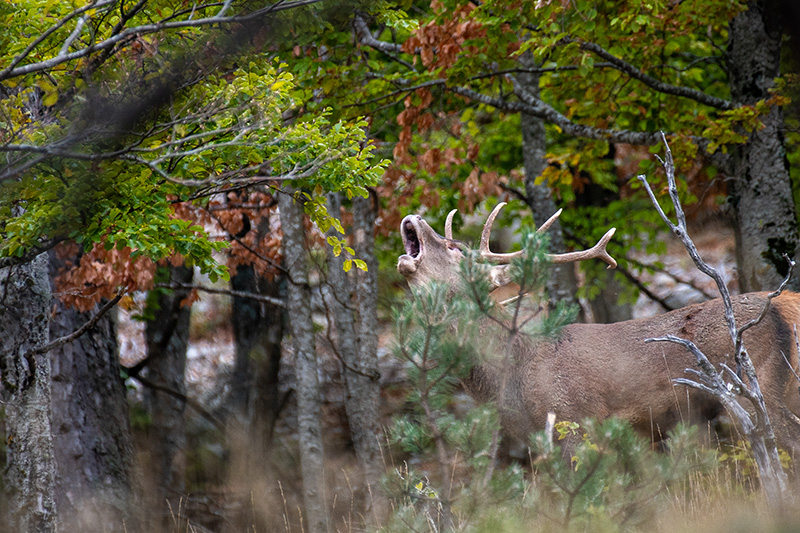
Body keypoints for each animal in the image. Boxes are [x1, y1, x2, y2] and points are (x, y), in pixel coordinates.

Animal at [397, 202, 800, 458]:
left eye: (456, 251)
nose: (414, 217)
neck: (509, 374)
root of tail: (786, 303)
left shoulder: (574, 420)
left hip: (761, 389)